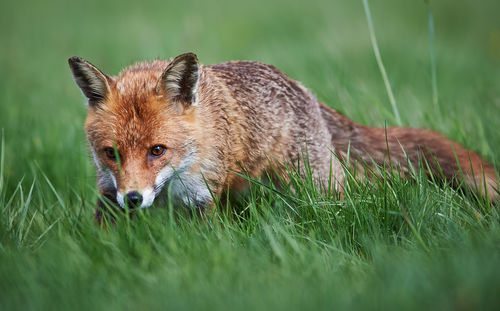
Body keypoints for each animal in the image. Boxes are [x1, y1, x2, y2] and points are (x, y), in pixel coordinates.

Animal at [68, 52, 498, 216]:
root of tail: (301, 87)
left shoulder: (201, 200)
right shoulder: (107, 193)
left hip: (314, 185)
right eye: (111, 153)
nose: (134, 199)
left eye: (158, 150)